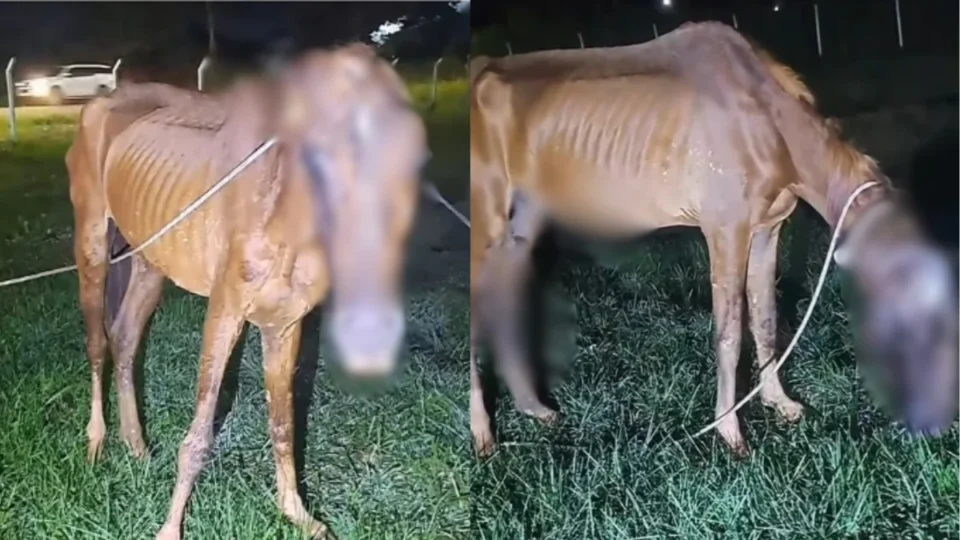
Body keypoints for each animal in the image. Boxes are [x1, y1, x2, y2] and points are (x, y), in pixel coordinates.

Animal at [65, 44, 429, 539]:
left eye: (413, 162)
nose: (373, 332)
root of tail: (100, 103)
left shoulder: (286, 323)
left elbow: (284, 424)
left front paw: (296, 512)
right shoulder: (226, 311)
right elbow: (199, 436)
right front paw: (170, 528)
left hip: (148, 262)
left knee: (124, 340)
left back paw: (136, 446)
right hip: (93, 246)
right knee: (98, 344)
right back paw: (96, 444)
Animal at [468, 22, 957, 458]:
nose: (935, 423)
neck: (776, 130)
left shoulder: (768, 227)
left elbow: (766, 319)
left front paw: (780, 404)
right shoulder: (725, 228)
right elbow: (729, 332)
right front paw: (730, 433)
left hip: (523, 222)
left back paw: (535, 409)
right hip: (487, 216)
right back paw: (483, 437)